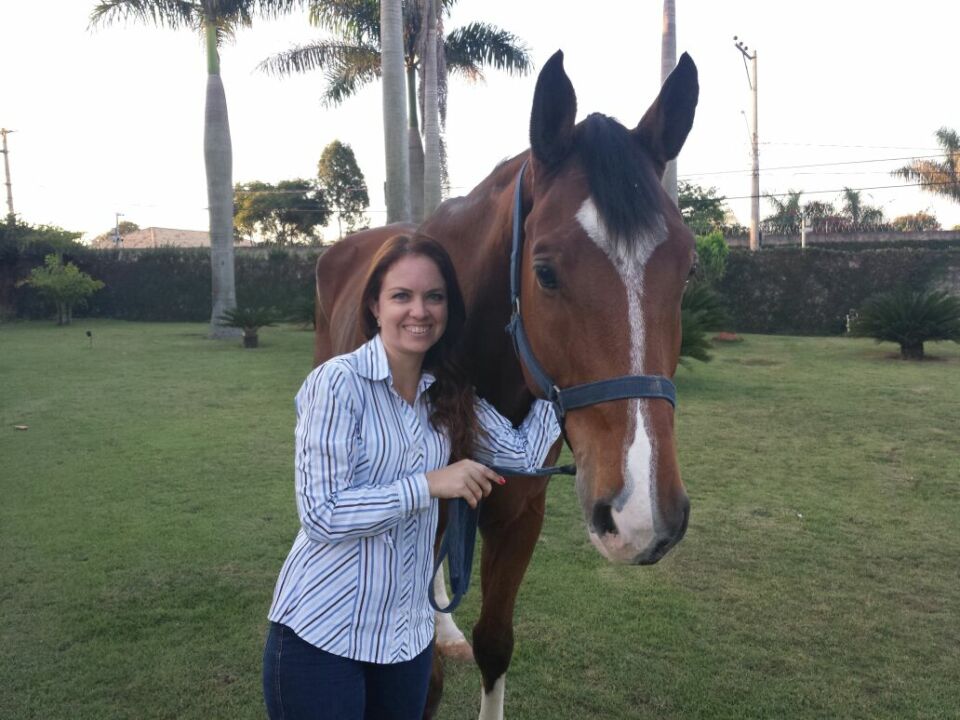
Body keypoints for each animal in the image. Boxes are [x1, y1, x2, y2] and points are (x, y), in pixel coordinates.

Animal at [313, 49, 699, 719]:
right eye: (544, 272)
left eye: (689, 268)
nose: (643, 517)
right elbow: (422, 677)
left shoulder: (521, 517)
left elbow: (495, 644)